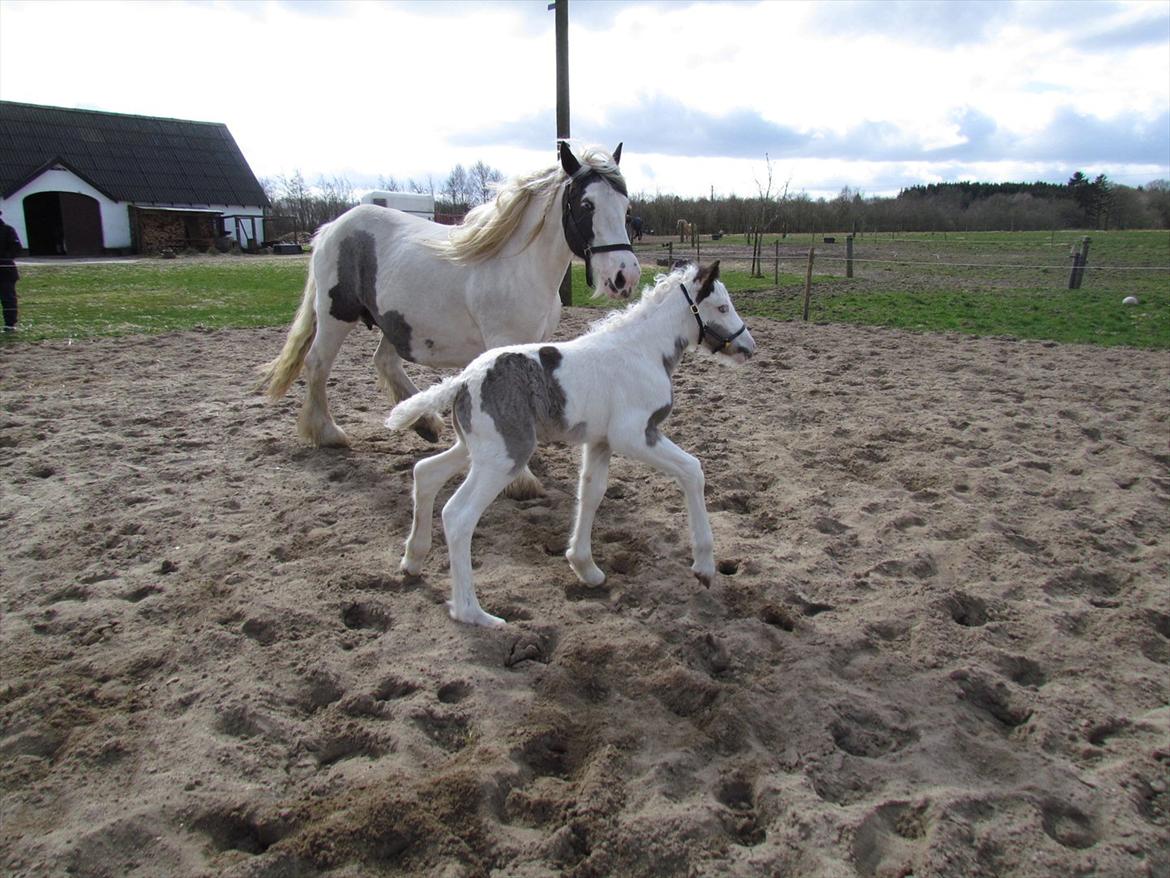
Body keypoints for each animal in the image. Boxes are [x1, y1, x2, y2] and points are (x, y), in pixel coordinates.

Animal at [260, 142, 641, 496]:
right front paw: (522, 481)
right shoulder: (504, 343)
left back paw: (424, 423)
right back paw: (327, 433)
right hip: (336, 314)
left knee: (384, 361)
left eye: (626, 208)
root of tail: (333, 227)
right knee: (317, 364)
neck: (519, 266)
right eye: (586, 205)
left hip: (397, 322)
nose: (625, 276)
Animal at [379, 261, 753, 627]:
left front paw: (584, 566)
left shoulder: (600, 441)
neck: (644, 351)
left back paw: (412, 560)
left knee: (425, 473)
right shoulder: (633, 435)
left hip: (474, 448)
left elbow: (591, 492)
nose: (748, 347)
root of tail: (462, 379)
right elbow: (693, 470)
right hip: (505, 456)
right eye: (722, 307)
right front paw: (704, 567)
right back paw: (472, 613)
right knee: (458, 516)